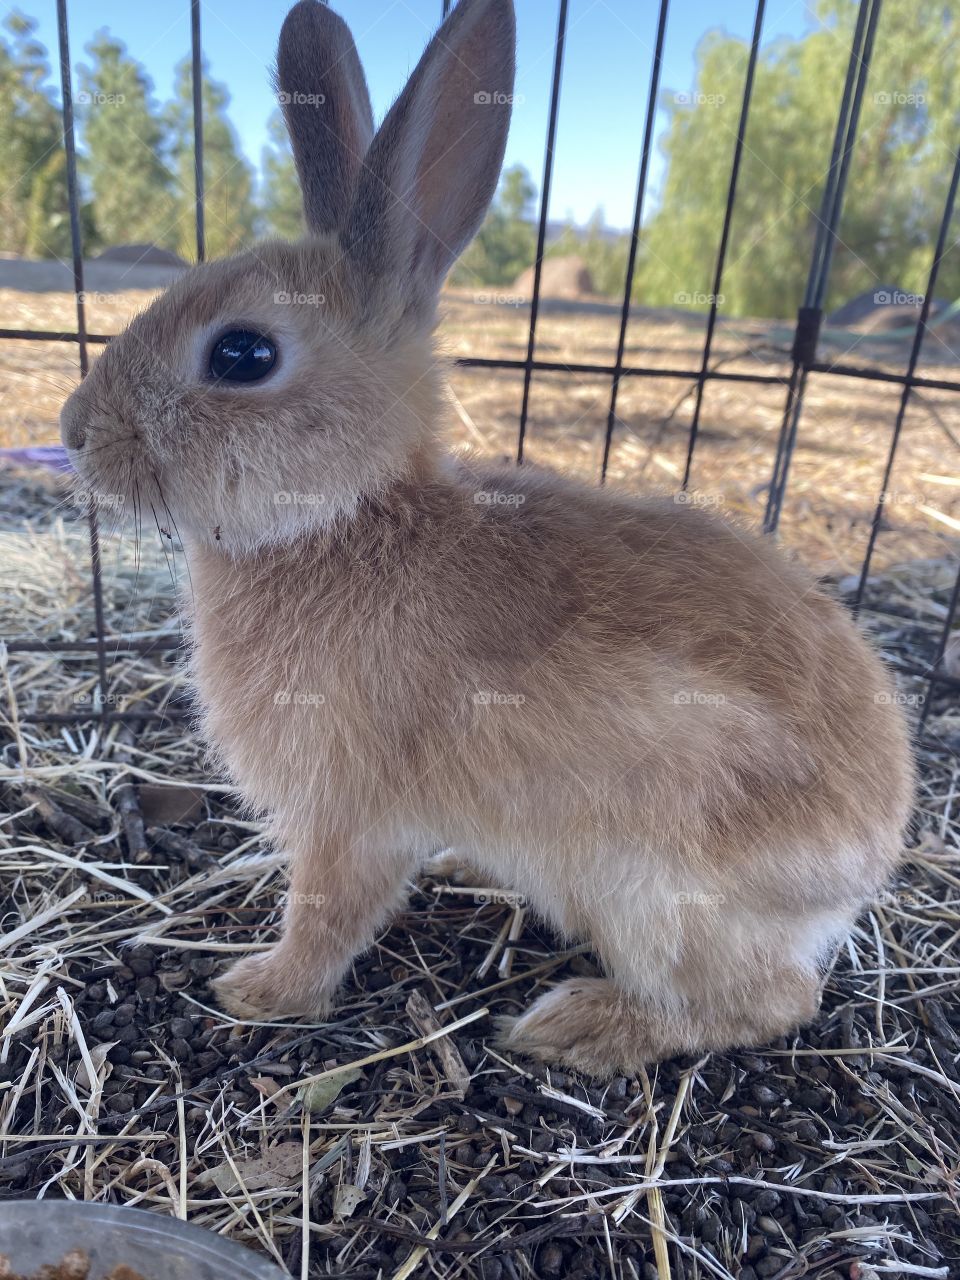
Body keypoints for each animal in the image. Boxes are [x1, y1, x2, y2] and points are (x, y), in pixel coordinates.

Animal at [59, 0, 914, 1076]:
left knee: (767, 1001)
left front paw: (260, 990)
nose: (73, 430)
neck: (350, 514)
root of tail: (865, 864)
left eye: (243, 353)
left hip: (656, 889)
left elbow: (328, 911)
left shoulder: (349, 813)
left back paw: (577, 1024)